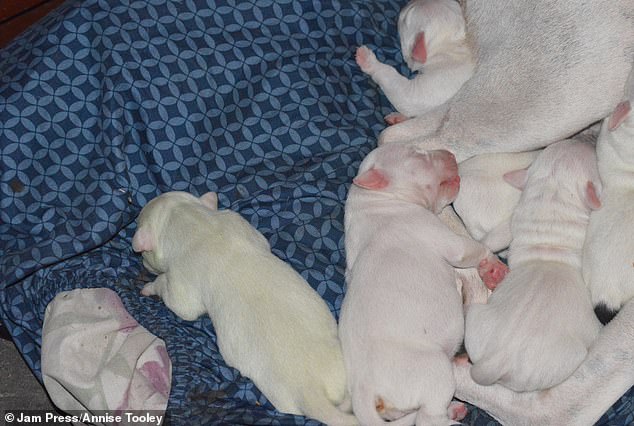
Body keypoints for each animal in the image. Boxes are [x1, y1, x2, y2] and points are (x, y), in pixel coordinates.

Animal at [131, 193, 358, 426]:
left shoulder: (182, 281)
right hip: (340, 367)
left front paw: (151, 286)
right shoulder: (239, 224)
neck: (192, 221)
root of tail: (311, 391)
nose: (142, 261)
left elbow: (182, 304)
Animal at [338, 144, 506, 426]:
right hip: (435, 370)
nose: (450, 153)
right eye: (416, 154)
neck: (374, 200)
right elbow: (472, 250)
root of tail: (364, 388)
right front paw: (494, 269)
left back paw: (453, 409)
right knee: (429, 418)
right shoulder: (439, 236)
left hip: (397, 405)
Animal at [464, 140, 604, 392]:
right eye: (593, 156)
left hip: (477, 319)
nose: (579, 139)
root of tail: (495, 361)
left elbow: (492, 240)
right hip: (565, 359)